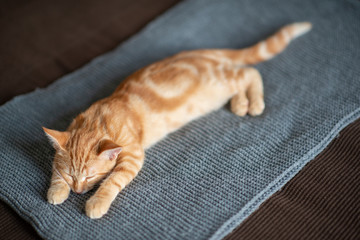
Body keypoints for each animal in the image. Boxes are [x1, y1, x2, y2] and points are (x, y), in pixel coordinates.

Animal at [43, 22, 312, 218]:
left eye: (90, 177)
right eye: (71, 176)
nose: (77, 190)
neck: (97, 120)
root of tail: (201, 52)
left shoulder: (132, 156)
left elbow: (112, 181)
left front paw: (96, 201)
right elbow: (55, 170)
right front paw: (56, 190)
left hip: (220, 81)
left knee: (249, 72)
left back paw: (254, 103)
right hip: (220, 88)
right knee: (241, 79)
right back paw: (240, 103)